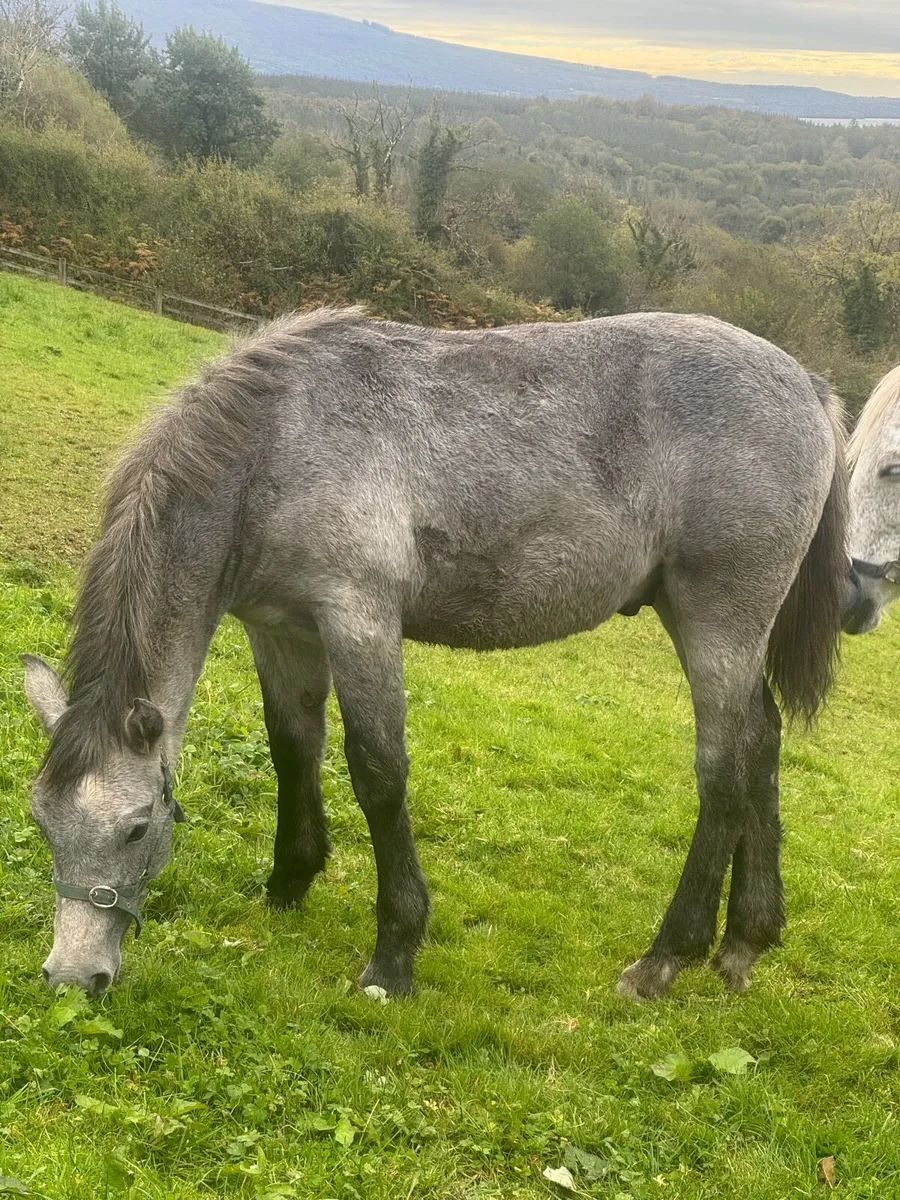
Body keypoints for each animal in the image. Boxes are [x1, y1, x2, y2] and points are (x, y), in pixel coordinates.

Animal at [21, 307, 849, 1001]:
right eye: (42, 822)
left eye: (136, 827)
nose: (72, 977)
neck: (273, 446)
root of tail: (809, 388)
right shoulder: (280, 629)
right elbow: (294, 748)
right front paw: (289, 880)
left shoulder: (358, 621)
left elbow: (378, 774)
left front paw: (393, 954)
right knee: (763, 745)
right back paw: (745, 942)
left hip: (718, 623)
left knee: (724, 774)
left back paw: (664, 958)